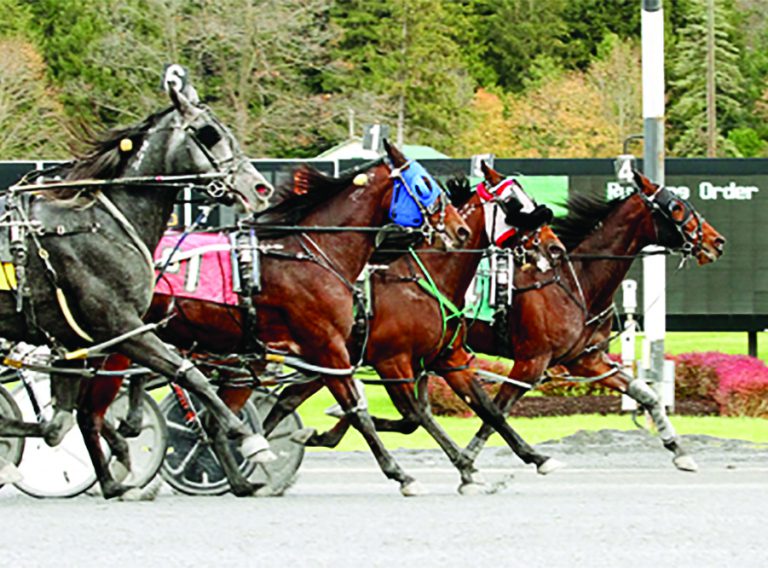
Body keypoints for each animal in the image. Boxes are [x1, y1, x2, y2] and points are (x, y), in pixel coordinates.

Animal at [0, 72, 276, 496]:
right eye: (210, 134)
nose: (260, 188)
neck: (99, 223)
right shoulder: (121, 325)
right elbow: (188, 372)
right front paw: (244, 435)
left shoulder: (74, 341)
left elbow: (59, 425)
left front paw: (118, 464)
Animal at [78, 142, 468, 496]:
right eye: (424, 184)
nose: (460, 229)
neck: (313, 255)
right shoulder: (332, 347)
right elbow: (359, 410)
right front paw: (400, 474)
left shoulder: (284, 355)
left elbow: (245, 414)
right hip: (121, 343)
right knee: (91, 412)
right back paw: (114, 474)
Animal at [462, 169, 728, 470]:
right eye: (676, 207)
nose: (717, 241)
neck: (574, 282)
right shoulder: (531, 362)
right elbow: (496, 410)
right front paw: (469, 457)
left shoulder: (587, 360)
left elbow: (646, 393)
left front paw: (679, 450)